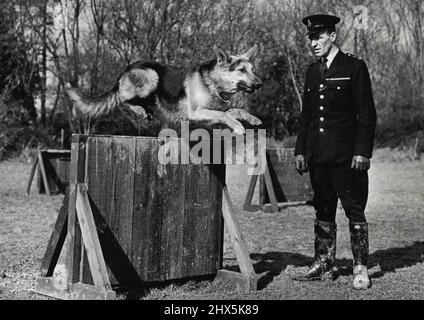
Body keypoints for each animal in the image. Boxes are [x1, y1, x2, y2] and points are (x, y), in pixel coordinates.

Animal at [67, 44, 262, 134]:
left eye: (253, 70)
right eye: (242, 70)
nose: (260, 84)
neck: (212, 83)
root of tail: (126, 69)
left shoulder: (208, 116)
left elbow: (235, 111)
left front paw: (252, 119)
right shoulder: (196, 112)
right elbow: (226, 115)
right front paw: (238, 127)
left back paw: (145, 112)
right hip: (151, 77)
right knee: (123, 100)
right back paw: (140, 111)